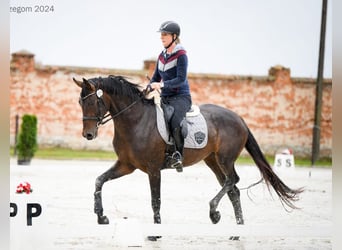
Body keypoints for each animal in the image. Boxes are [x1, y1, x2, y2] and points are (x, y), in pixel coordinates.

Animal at [73, 74, 302, 240]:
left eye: (93, 102)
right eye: (80, 103)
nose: (88, 135)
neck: (135, 121)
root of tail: (239, 118)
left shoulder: (153, 170)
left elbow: (155, 200)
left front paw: (156, 234)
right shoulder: (126, 165)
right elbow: (99, 181)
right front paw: (101, 216)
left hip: (225, 159)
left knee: (232, 180)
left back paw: (214, 212)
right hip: (212, 160)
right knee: (233, 189)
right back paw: (237, 232)